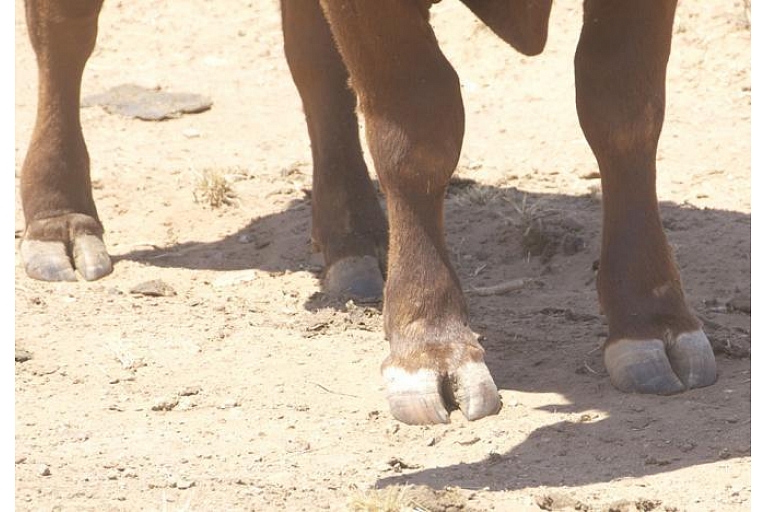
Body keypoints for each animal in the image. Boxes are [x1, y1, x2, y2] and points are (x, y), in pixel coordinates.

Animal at [19, 0, 717, 425]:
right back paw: (59, 221)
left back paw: (353, 238)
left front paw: (651, 320)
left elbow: (622, 108)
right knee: (64, 35)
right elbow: (418, 123)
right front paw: (431, 343)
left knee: (314, 59)